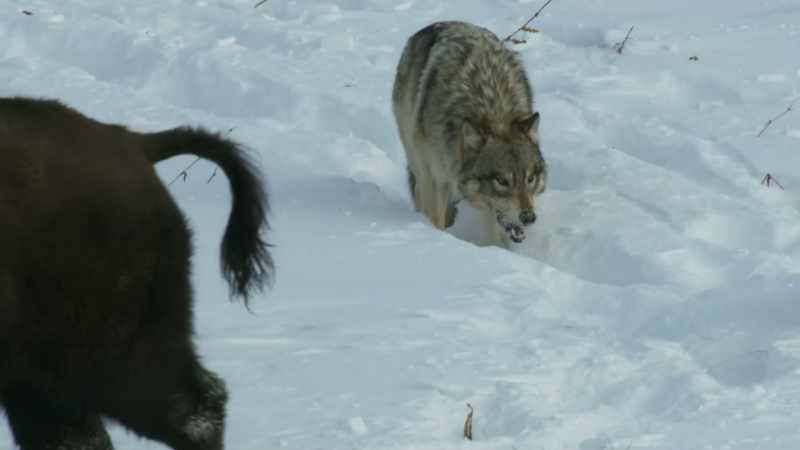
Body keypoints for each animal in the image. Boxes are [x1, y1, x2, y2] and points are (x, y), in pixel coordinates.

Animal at [392, 21, 546, 248]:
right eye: (502, 181)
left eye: (530, 178)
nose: (528, 218)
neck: (493, 109)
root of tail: (445, 22)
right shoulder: (435, 178)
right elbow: (436, 219)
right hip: (418, 163)